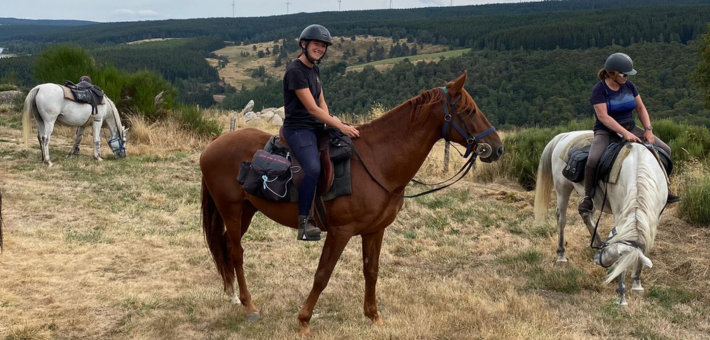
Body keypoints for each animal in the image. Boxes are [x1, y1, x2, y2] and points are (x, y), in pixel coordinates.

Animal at [197, 73, 504, 336]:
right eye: (469, 111)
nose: (497, 147)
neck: (377, 161)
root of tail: (213, 144)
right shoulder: (340, 232)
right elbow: (322, 275)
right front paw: (304, 321)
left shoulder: (375, 230)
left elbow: (371, 271)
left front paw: (374, 316)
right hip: (231, 209)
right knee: (236, 252)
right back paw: (249, 306)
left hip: (247, 210)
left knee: (226, 247)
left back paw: (231, 294)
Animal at [536, 130, 672, 306]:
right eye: (620, 258)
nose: (598, 260)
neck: (638, 168)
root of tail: (565, 135)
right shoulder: (619, 214)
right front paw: (621, 296)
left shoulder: (655, 217)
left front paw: (637, 283)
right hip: (562, 188)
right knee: (562, 219)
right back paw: (561, 256)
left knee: (586, 214)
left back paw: (599, 245)